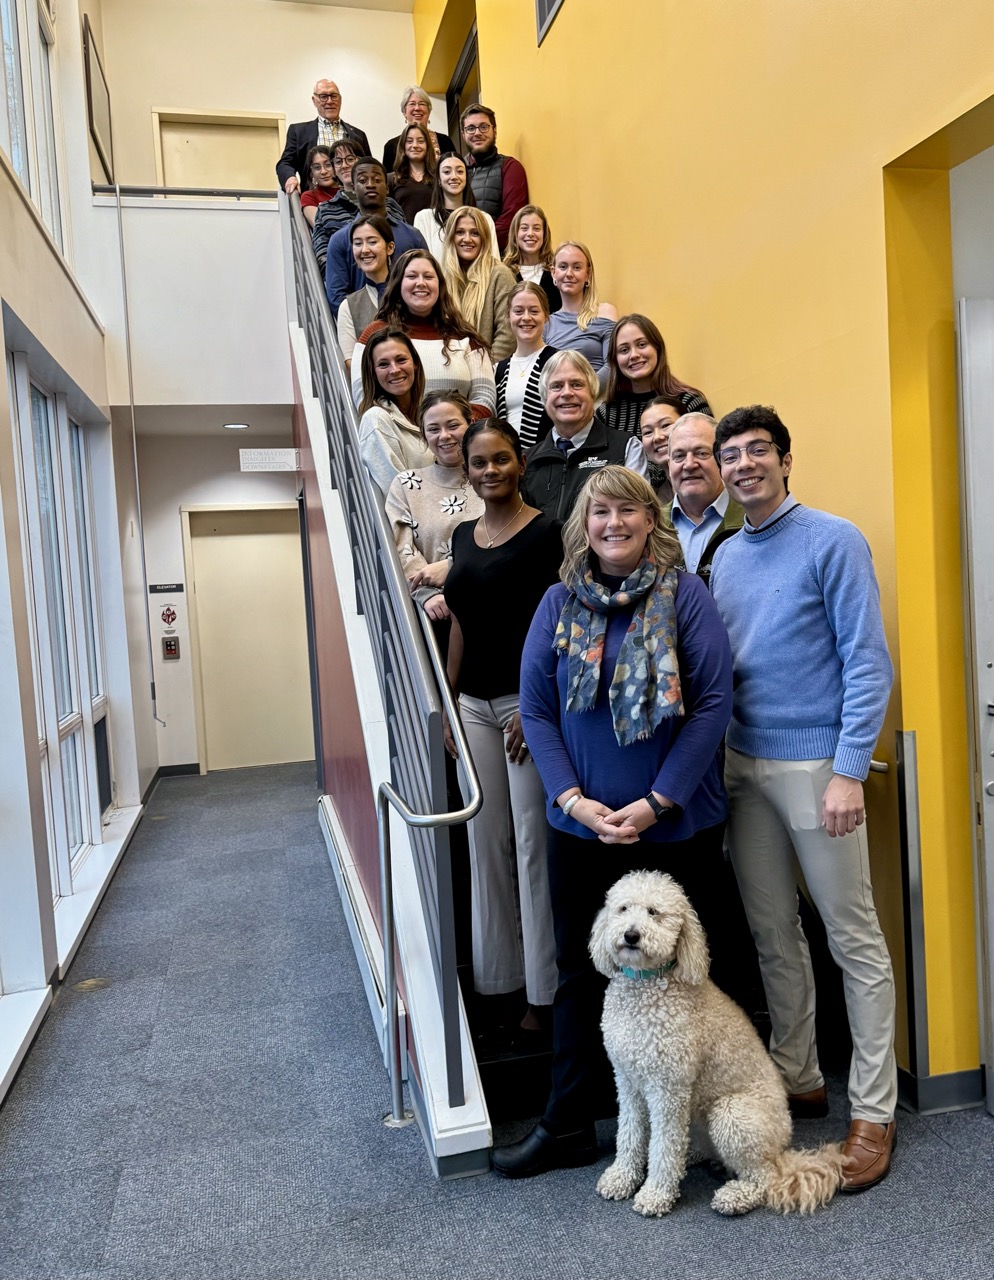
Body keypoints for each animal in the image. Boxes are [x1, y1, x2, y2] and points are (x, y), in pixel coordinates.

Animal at [588, 870, 839, 1218]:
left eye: (654, 912)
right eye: (623, 908)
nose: (631, 935)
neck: (645, 987)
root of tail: (782, 1150)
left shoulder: (668, 1089)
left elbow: (664, 1146)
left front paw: (656, 1194)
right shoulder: (627, 1081)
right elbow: (629, 1133)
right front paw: (622, 1177)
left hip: (731, 1114)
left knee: (763, 1177)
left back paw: (734, 1196)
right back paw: (694, 1156)